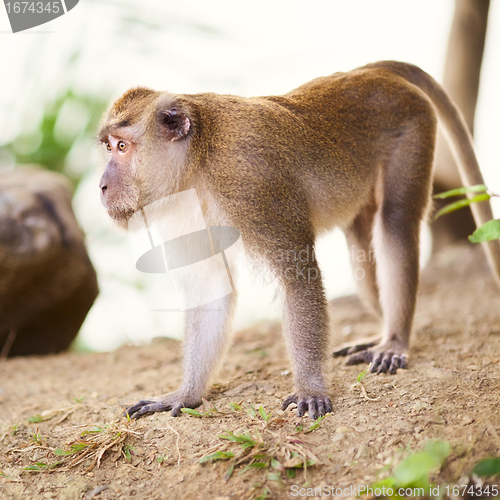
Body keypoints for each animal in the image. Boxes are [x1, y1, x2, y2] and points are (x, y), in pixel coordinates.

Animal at [97, 60, 500, 418]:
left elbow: (298, 278)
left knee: (395, 223)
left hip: (412, 126)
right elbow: (209, 287)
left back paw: (395, 341)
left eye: (122, 146)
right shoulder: (183, 211)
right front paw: (186, 394)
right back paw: (381, 334)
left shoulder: (253, 185)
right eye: (108, 146)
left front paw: (310, 389)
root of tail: (367, 72)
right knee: (361, 241)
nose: (101, 185)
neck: (199, 162)